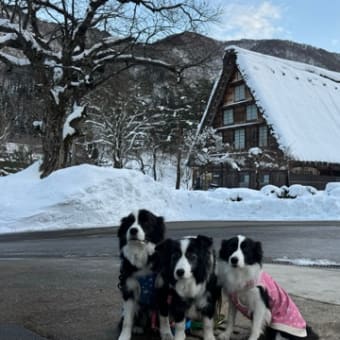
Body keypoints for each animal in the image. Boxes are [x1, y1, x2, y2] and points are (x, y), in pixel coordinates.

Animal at [117, 209, 166, 340]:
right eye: (129, 223)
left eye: (146, 222)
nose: (133, 230)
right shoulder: (128, 290)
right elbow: (127, 320)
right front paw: (124, 337)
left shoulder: (162, 289)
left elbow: (164, 318)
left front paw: (167, 335)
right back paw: (138, 327)